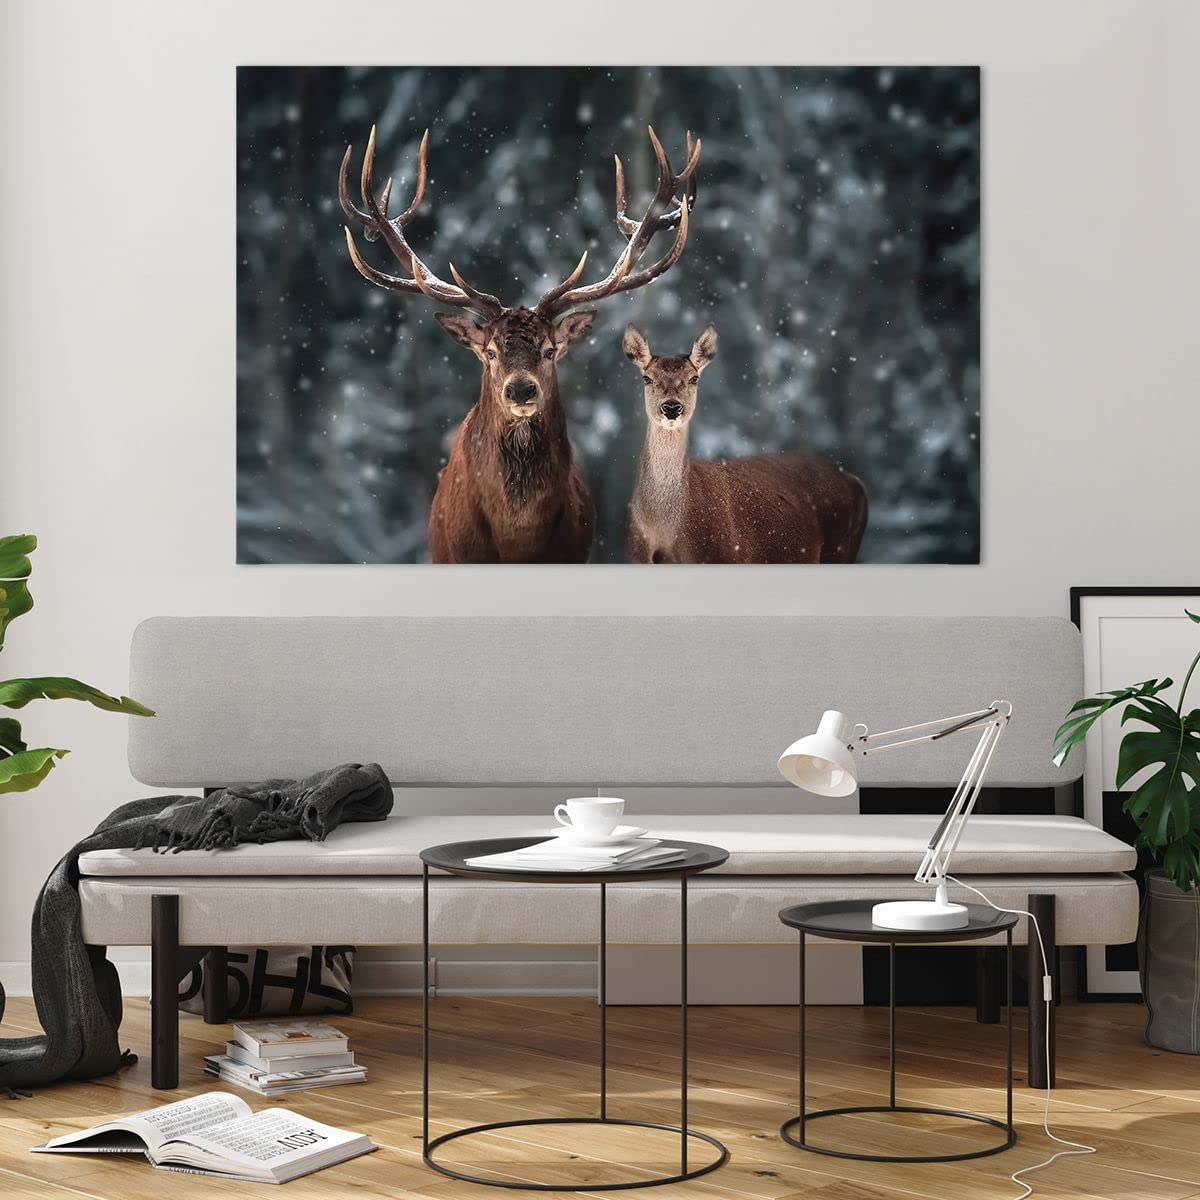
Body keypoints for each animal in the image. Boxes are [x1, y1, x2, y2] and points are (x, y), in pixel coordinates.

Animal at [623, 325, 868, 564]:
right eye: (647, 378)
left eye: (694, 378)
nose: (672, 407)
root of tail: (855, 480)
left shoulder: (721, 555)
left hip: (840, 549)